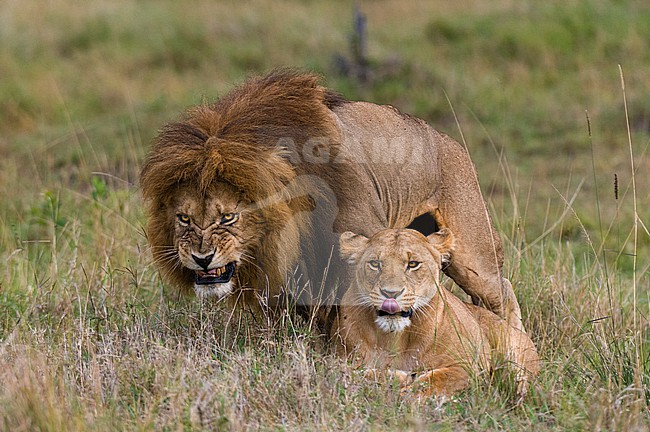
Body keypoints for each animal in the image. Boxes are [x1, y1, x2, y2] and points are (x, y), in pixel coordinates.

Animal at [140, 69, 522, 330]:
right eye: (184, 218)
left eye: (228, 217)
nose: (201, 259)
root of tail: (448, 141)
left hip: (472, 251)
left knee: (500, 292)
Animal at [332, 227, 540, 399]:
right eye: (375, 263)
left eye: (413, 264)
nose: (390, 293)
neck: (393, 337)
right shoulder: (339, 357)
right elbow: (352, 373)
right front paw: (393, 377)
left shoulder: (468, 364)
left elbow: (433, 382)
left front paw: (405, 389)